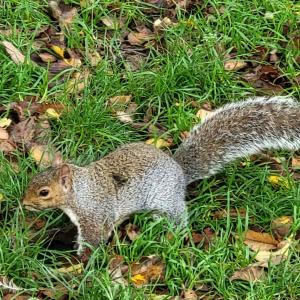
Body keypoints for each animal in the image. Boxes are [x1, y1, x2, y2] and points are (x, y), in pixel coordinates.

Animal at [22, 95, 300, 254]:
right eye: (33, 180)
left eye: (44, 192)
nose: (23, 203)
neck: (80, 190)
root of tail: (179, 172)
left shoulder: (95, 216)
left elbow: (94, 239)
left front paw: (81, 262)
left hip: (165, 202)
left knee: (178, 218)